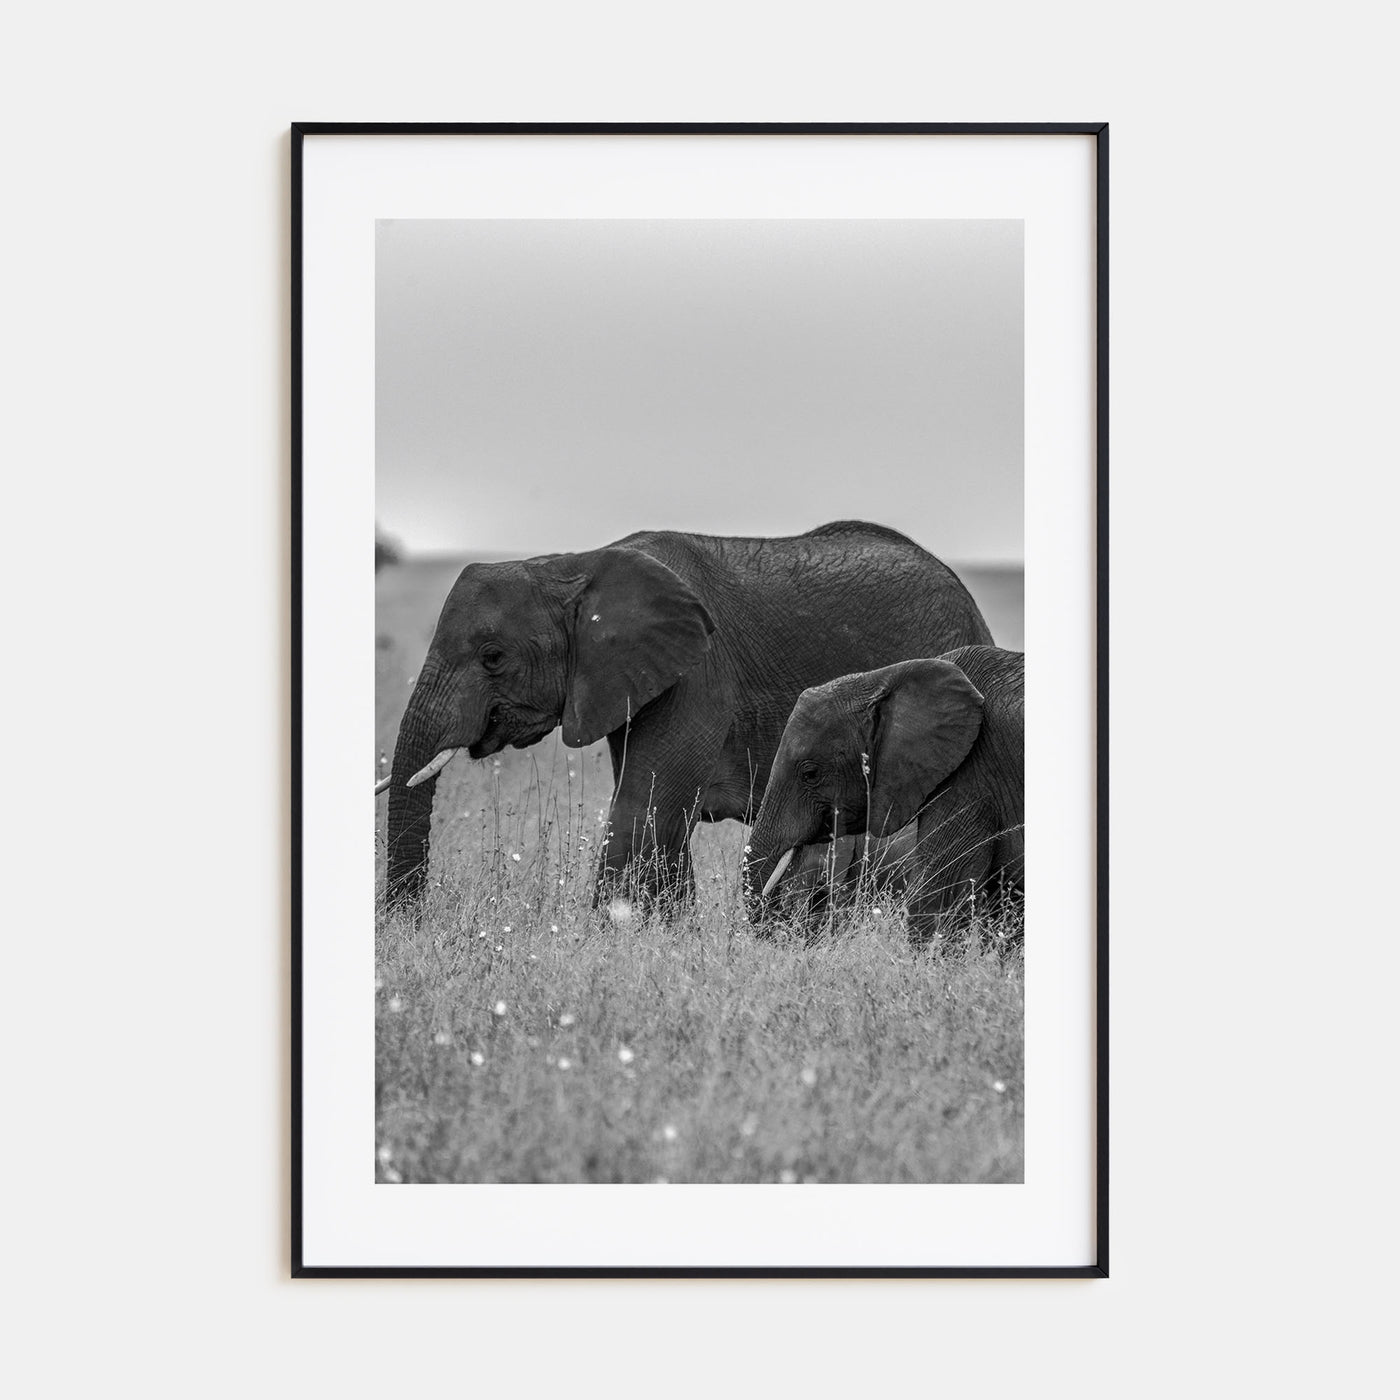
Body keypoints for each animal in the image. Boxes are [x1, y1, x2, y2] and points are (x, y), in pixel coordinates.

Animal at [379, 522, 993, 908]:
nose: (410, 923)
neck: (573, 565)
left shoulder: (697, 674)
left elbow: (642, 808)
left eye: (492, 657)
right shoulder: (630, 679)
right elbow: (662, 815)